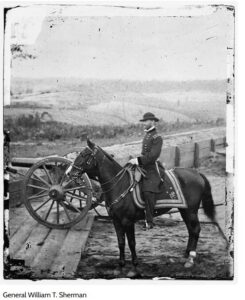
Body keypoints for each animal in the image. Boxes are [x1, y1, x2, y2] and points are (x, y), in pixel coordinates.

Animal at [66, 139, 214, 274]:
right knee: (191, 230)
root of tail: (197, 173)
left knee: (196, 229)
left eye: (84, 155)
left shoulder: (128, 221)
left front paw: (135, 265)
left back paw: (191, 258)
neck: (120, 185)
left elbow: (131, 243)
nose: (69, 173)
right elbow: (121, 242)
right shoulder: (116, 220)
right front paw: (121, 264)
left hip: (191, 211)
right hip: (185, 210)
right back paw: (187, 253)